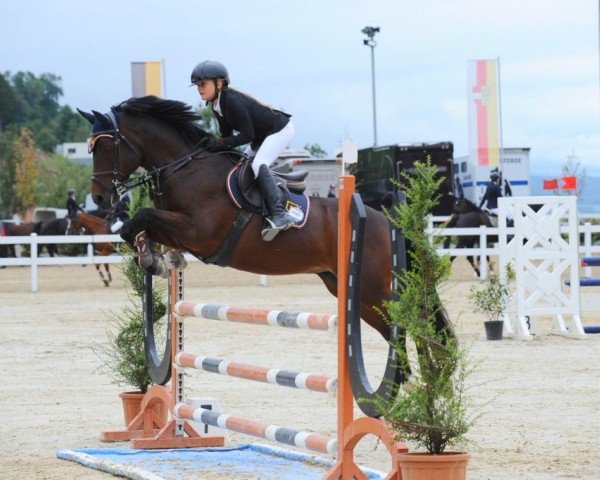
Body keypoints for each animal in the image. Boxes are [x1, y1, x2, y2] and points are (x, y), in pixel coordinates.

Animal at [78, 96, 454, 344]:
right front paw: (154, 257)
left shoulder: (199, 231)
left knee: (413, 327)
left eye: (105, 146)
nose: (100, 198)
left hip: (375, 288)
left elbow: (139, 217)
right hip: (349, 289)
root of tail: (390, 222)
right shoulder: (178, 229)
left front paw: (150, 259)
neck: (183, 168)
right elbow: (140, 226)